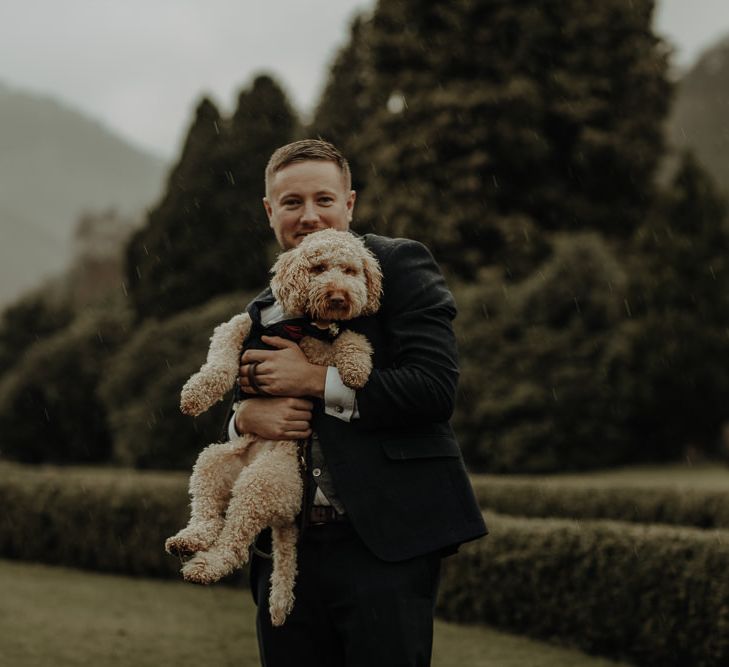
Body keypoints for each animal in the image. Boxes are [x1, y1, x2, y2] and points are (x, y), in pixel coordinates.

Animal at [164, 230, 382, 628]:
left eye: (351, 271)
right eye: (318, 267)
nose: (340, 297)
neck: (300, 320)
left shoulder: (324, 343)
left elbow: (352, 341)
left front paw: (356, 368)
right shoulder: (241, 325)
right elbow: (221, 356)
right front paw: (196, 393)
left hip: (261, 485)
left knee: (233, 542)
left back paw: (204, 565)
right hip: (214, 464)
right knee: (209, 515)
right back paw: (189, 539)